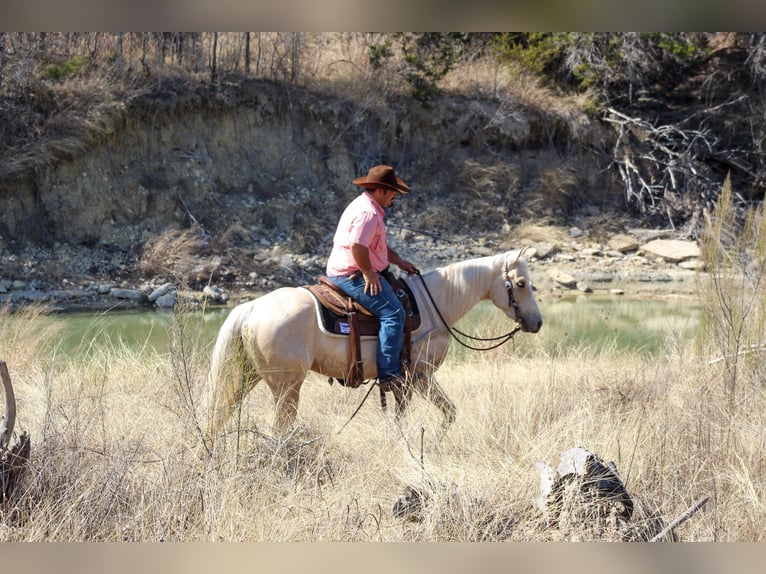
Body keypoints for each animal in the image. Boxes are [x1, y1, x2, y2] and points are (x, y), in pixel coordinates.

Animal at [207, 250, 544, 444]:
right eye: (521, 284)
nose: (537, 322)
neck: (433, 305)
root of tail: (252, 307)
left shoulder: (409, 380)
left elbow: (446, 413)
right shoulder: (418, 376)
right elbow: (414, 417)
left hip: (247, 376)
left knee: (222, 413)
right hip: (287, 387)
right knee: (279, 429)